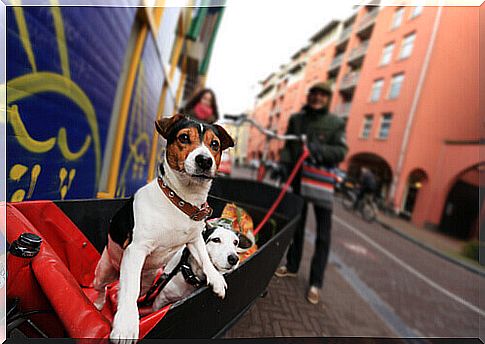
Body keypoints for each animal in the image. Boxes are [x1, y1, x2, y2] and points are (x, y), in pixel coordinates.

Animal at [93, 114, 234, 342]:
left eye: (215, 144)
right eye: (184, 137)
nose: (204, 160)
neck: (181, 201)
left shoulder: (194, 240)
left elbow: (204, 258)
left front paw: (215, 277)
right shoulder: (136, 249)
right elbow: (130, 291)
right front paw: (126, 324)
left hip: (147, 279)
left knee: (132, 290)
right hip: (105, 270)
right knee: (103, 287)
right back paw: (99, 302)